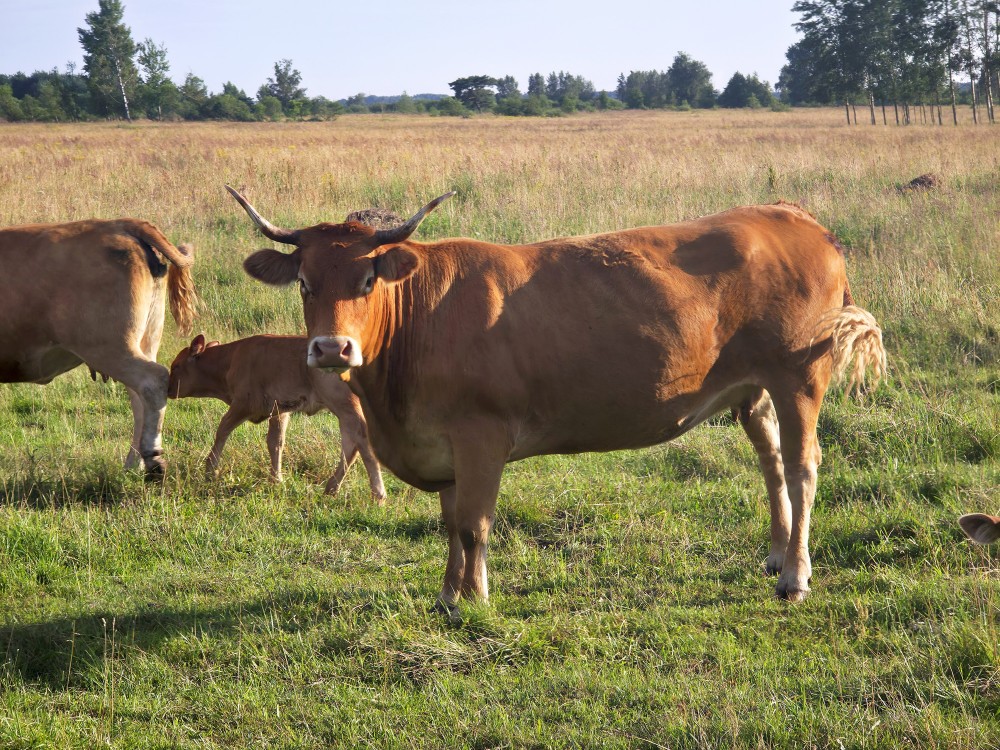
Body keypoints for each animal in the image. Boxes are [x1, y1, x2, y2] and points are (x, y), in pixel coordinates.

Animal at [0, 219, 196, 478]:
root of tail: (118, 224)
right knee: (140, 400)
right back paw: (134, 463)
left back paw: (153, 460)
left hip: (109, 346)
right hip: (142, 342)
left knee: (153, 381)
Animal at [167, 333, 386, 501]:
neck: (230, 360)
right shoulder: (280, 410)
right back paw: (332, 488)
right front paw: (276, 479)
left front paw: (210, 470)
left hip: (345, 406)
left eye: (176, 366)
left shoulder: (243, 404)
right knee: (350, 445)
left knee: (361, 441)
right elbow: (275, 442)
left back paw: (378, 494)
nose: (168, 390)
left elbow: (222, 430)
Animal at [226, 185, 887, 611]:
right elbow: (449, 524)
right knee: (772, 461)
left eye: (367, 280)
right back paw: (775, 555)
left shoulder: (481, 435)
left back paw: (795, 577)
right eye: (304, 283)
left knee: (802, 467)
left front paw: (473, 600)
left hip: (800, 376)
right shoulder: (440, 445)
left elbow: (474, 524)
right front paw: (446, 594)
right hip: (753, 390)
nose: (332, 349)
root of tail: (792, 216)